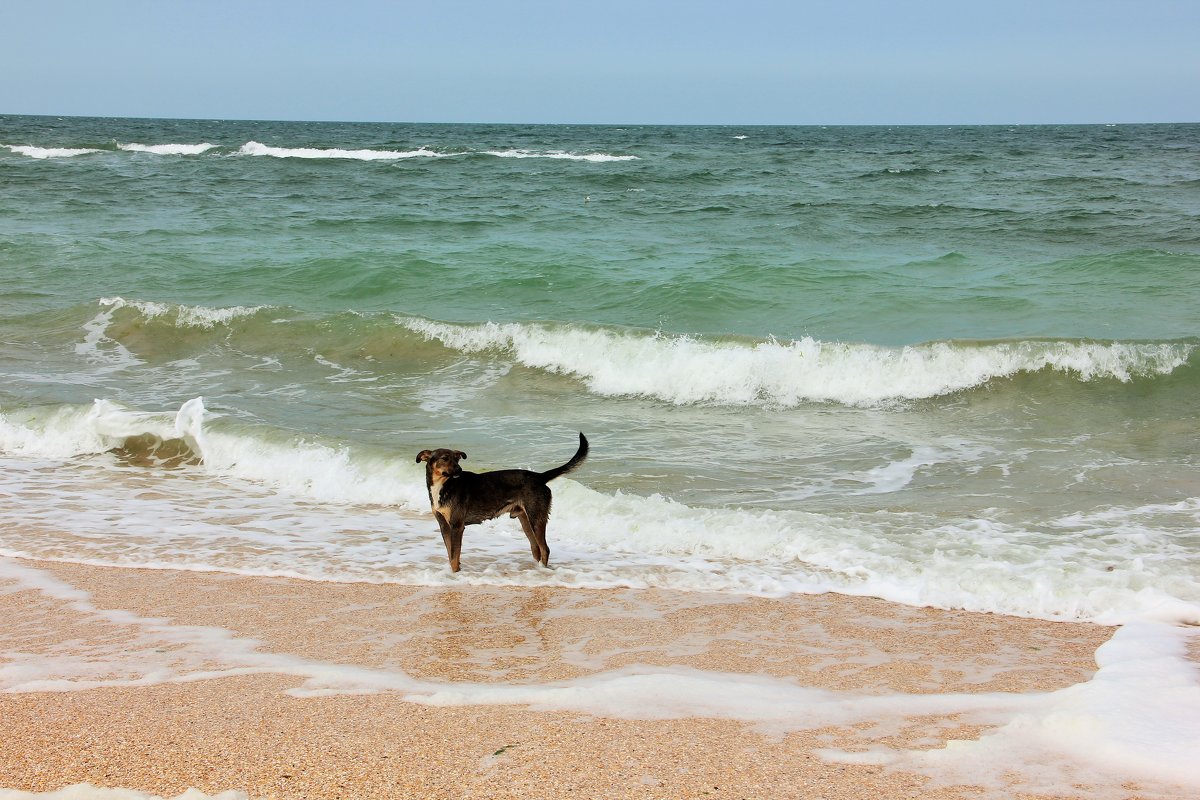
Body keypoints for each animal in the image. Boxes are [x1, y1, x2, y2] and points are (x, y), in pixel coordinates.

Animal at [415, 434, 588, 573]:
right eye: (445, 458)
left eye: (456, 458)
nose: (459, 470)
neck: (444, 485)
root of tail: (539, 477)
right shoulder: (444, 526)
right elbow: (450, 553)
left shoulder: (457, 526)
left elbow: (454, 556)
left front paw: (455, 573)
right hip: (526, 521)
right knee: (536, 549)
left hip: (536, 518)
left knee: (545, 549)